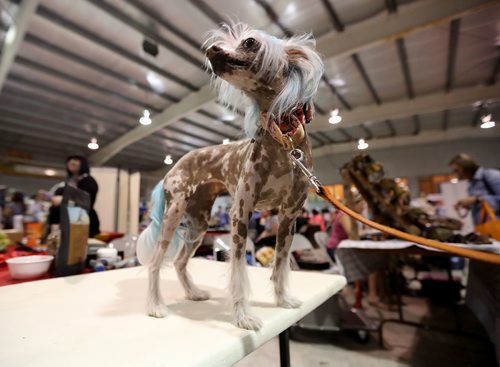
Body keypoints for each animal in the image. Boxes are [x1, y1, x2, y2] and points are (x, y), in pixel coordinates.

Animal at [138, 24, 324, 332]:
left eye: (249, 42)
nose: (210, 50)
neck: (281, 144)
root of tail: (174, 166)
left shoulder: (289, 217)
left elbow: (280, 265)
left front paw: (283, 299)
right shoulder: (241, 213)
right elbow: (238, 273)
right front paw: (242, 316)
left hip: (199, 223)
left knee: (179, 262)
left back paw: (193, 292)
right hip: (174, 215)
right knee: (155, 263)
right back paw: (154, 305)